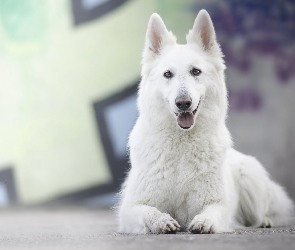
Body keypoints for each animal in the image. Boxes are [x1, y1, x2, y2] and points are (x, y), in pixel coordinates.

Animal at [117, 8, 294, 233]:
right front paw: (161, 221)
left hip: (250, 179)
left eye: (196, 71)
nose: (183, 103)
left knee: (271, 211)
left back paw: (265, 221)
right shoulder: (130, 208)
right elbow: (148, 212)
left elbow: (213, 212)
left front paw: (204, 222)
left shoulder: (218, 203)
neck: (182, 145)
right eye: (167, 74)